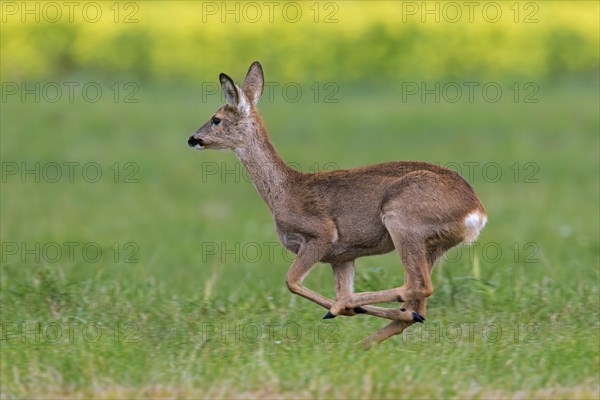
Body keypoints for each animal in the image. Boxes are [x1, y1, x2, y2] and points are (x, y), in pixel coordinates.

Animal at [188, 61, 488, 348]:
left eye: (216, 119)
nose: (192, 139)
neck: (284, 191)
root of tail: (477, 213)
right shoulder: (343, 256)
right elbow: (334, 286)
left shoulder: (320, 234)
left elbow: (291, 281)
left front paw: (341, 309)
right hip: (433, 245)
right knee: (416, 305)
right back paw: (364, 336)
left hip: (403, 221)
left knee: (418, 285)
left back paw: (346, 309)